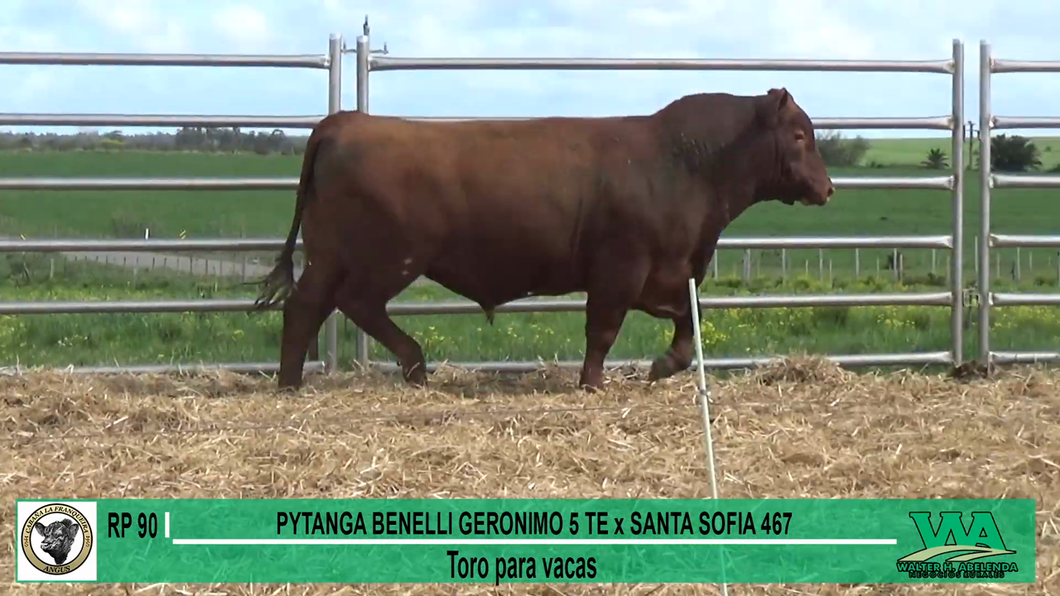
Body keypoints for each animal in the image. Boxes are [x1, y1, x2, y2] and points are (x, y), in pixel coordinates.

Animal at [258, 84, 835, 390]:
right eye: (799, 134)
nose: (828, 187)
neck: (683, 162)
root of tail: (346, 120)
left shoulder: (666, 272)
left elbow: (687, 321)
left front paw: (662, 366)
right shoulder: (619, 268)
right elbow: (602, 329)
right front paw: (592, 383)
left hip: (331, 254)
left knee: (308, 306)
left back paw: (293, 381)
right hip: (389, 256)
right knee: (350, 303)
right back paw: (411, 362)